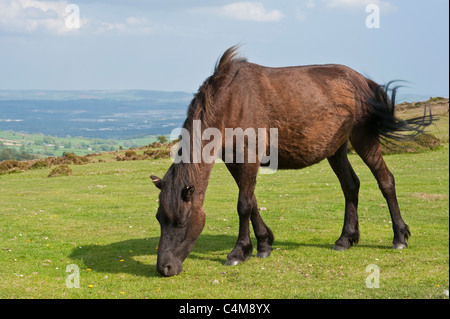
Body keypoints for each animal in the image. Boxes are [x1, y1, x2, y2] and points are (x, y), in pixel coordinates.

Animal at [150, 45, 432, 278]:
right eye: (159, 218)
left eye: (181, 222)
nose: (165, 268)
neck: (230, 100)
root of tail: (363, 80)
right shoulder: (234, 161)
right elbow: (252, 202)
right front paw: (264, 244)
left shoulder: (249, 159)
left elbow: (243, 205)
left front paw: (239, 252)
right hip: (337, 149)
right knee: (351, 186)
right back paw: (345, 239)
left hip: (364, 139)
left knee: (386, 181)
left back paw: (399, 237)